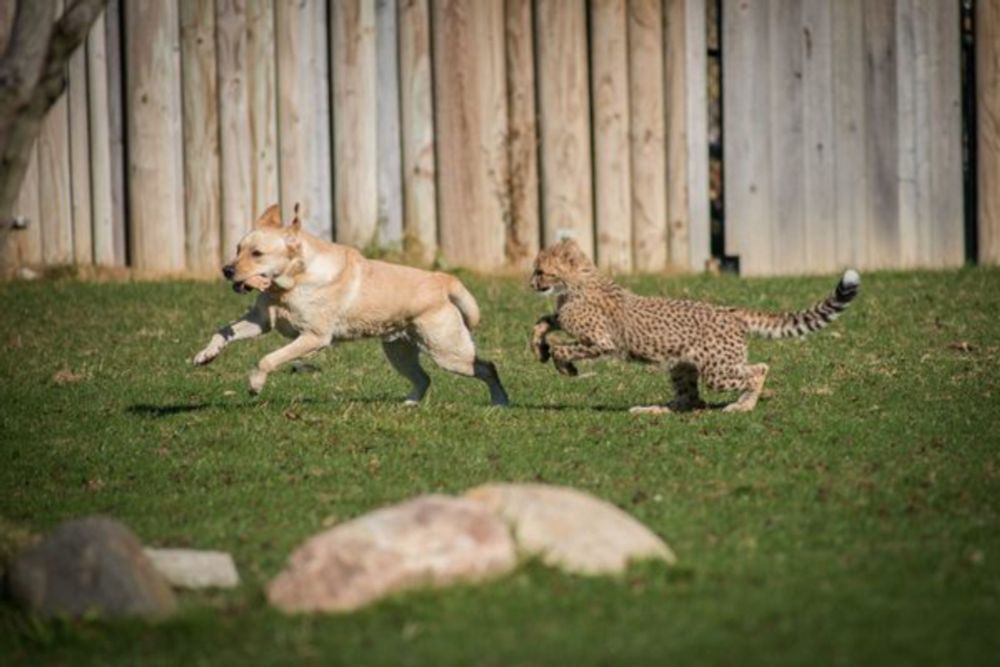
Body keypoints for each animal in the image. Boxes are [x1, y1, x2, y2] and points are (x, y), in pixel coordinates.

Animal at [192, 205, 512, 408]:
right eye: (238, 249)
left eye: (257, 253)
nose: (226, 270)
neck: (290, 284)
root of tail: (443, 280)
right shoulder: (261, 320)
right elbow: (222, 331)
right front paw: (205, 355)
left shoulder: (314, 338)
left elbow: (267, 359)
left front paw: (256, 384)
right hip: (399, 352)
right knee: (424, 378)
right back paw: (408, 404)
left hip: (448, 352)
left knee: (487, 367)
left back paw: (500, 403)